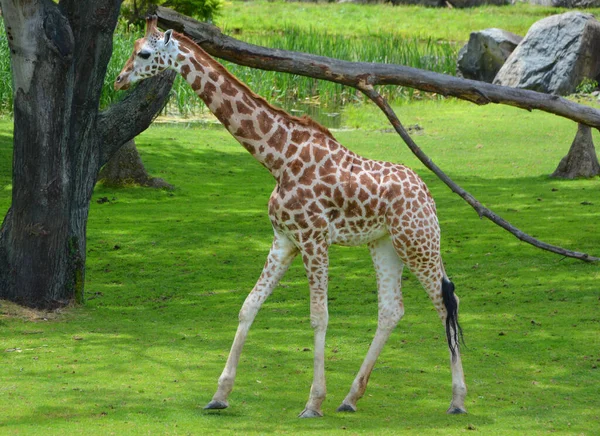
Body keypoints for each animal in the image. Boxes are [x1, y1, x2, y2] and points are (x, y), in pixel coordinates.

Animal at [115, 17, 466, 418]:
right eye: (133, 48)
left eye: (144, 53)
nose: (119, 79)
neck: (278, 158)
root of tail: (428, 195)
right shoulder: (284, 239)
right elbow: (248, 306)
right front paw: (220, 394)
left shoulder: (314, 238)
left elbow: (318, 316)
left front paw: (313, 402)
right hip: (384, 244)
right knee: (392, 310)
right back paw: (350, 398)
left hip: (418, 241)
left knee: (447, 303)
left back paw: (457, 400)